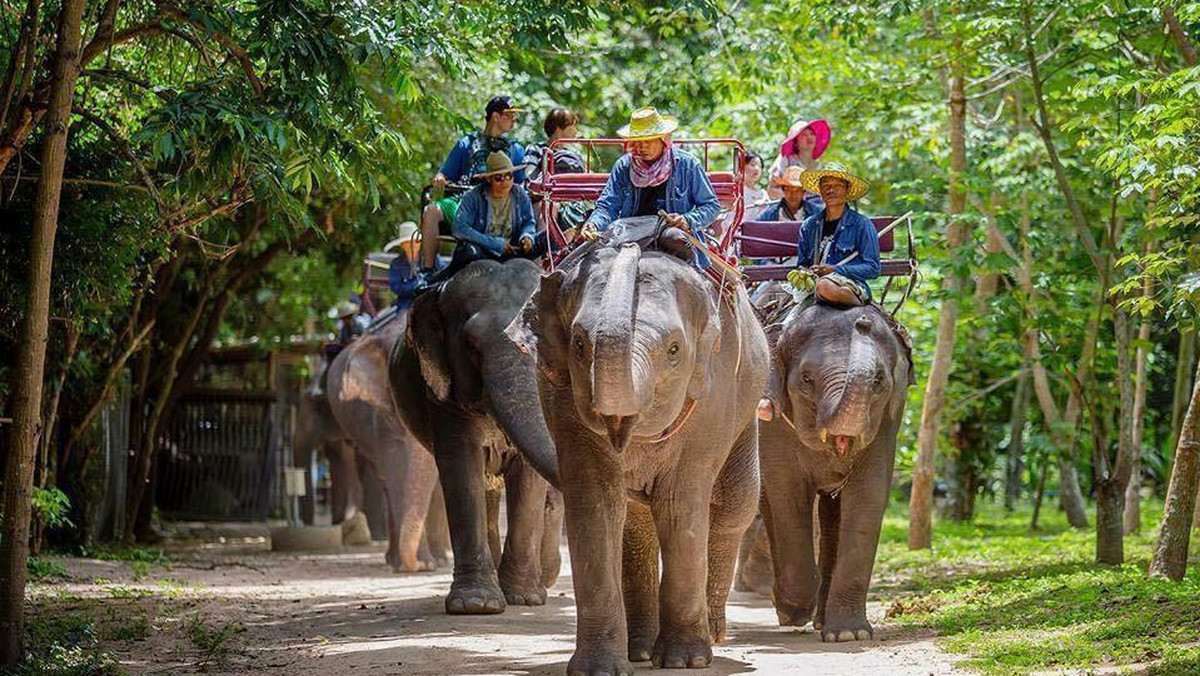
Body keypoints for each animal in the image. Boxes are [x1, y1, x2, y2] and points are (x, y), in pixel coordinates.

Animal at [388, 260, 566, 619]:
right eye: (471, 345)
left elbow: (528, 478)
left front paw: (524, 599)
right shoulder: (440, 391)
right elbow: (461, 465)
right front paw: (476, 606)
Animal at [506, 244, 768, 676]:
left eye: (674, 350)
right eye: (579, 345)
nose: (627, 246)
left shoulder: (713, 396)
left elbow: (681, 504)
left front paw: (685, 661)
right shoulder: (561, 402)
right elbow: (595, 503)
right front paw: (598, 669)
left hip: (746, 412)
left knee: (734, 507)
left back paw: (712, 635)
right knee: (636, 525)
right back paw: (640, 650)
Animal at [753, 302, 912, 643]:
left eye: (879, 380)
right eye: (807, 379)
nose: (863, 322)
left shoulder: (887, 421)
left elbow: (868, 495)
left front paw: (850, 635)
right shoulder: (774, 424)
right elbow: (788, 494)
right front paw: (793, 609)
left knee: (831, 516)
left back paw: (823, 623)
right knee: (772, 507)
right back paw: (791, 609)